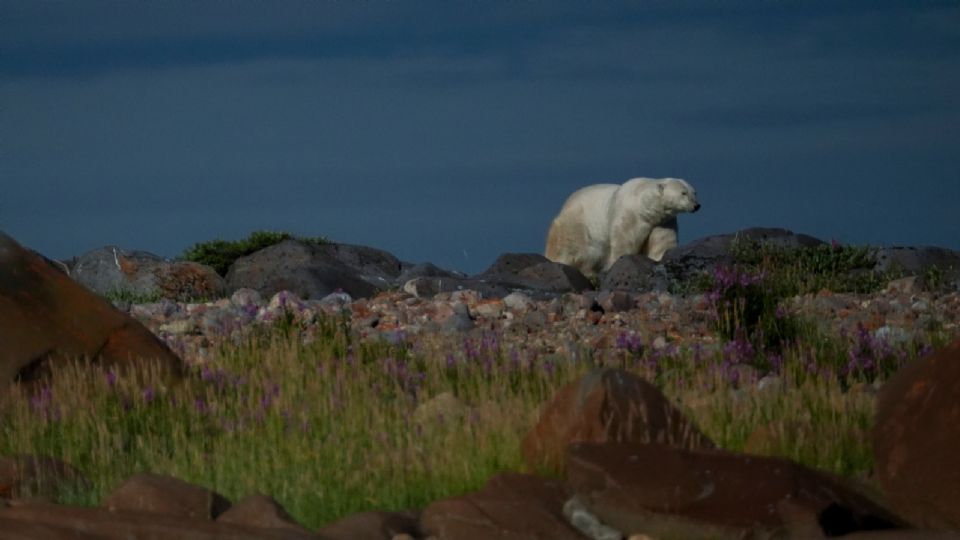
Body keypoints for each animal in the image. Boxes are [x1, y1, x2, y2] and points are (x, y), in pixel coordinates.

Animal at [548, 178, 696, 278]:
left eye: (694, 192)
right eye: (683, 193)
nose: (697, 205)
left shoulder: (662, 221)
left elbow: (662, 243)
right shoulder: (630, 215)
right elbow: (625, 241)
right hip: (578, 224)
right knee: (575, 249)